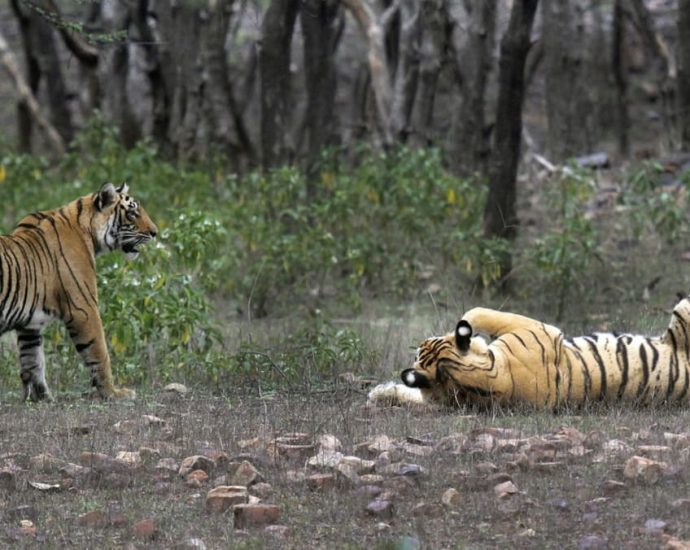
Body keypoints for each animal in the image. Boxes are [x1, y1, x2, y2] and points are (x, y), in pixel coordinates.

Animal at [0, 183, 157, 404]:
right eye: (132, 213)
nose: (155, 233)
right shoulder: (84, 308)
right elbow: (100, 353)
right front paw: (114, 393)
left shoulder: (30, 324)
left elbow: (33, 360)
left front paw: (42, 398)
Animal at [368, 300, 688, 412]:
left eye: (427, 343)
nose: (417, 344)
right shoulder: (538, 328)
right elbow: (475, 313)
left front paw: (378, 393)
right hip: (682, 311)